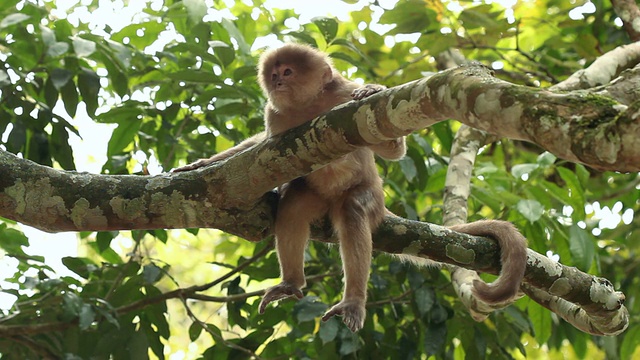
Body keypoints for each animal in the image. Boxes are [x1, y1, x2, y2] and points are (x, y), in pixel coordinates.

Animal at [172, 43, 528, 332]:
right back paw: (292, 282)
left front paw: (371, 90)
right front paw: (200, 166)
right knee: (293, 205)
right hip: (314, 197)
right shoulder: (275, 116)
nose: (277, 82)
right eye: (274, 74)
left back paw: (353, 298)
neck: (309, 107)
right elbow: (263, 153)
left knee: (354, 210)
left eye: (287, 72)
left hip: (369, 194)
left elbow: (391, 148)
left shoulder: (343, 95)